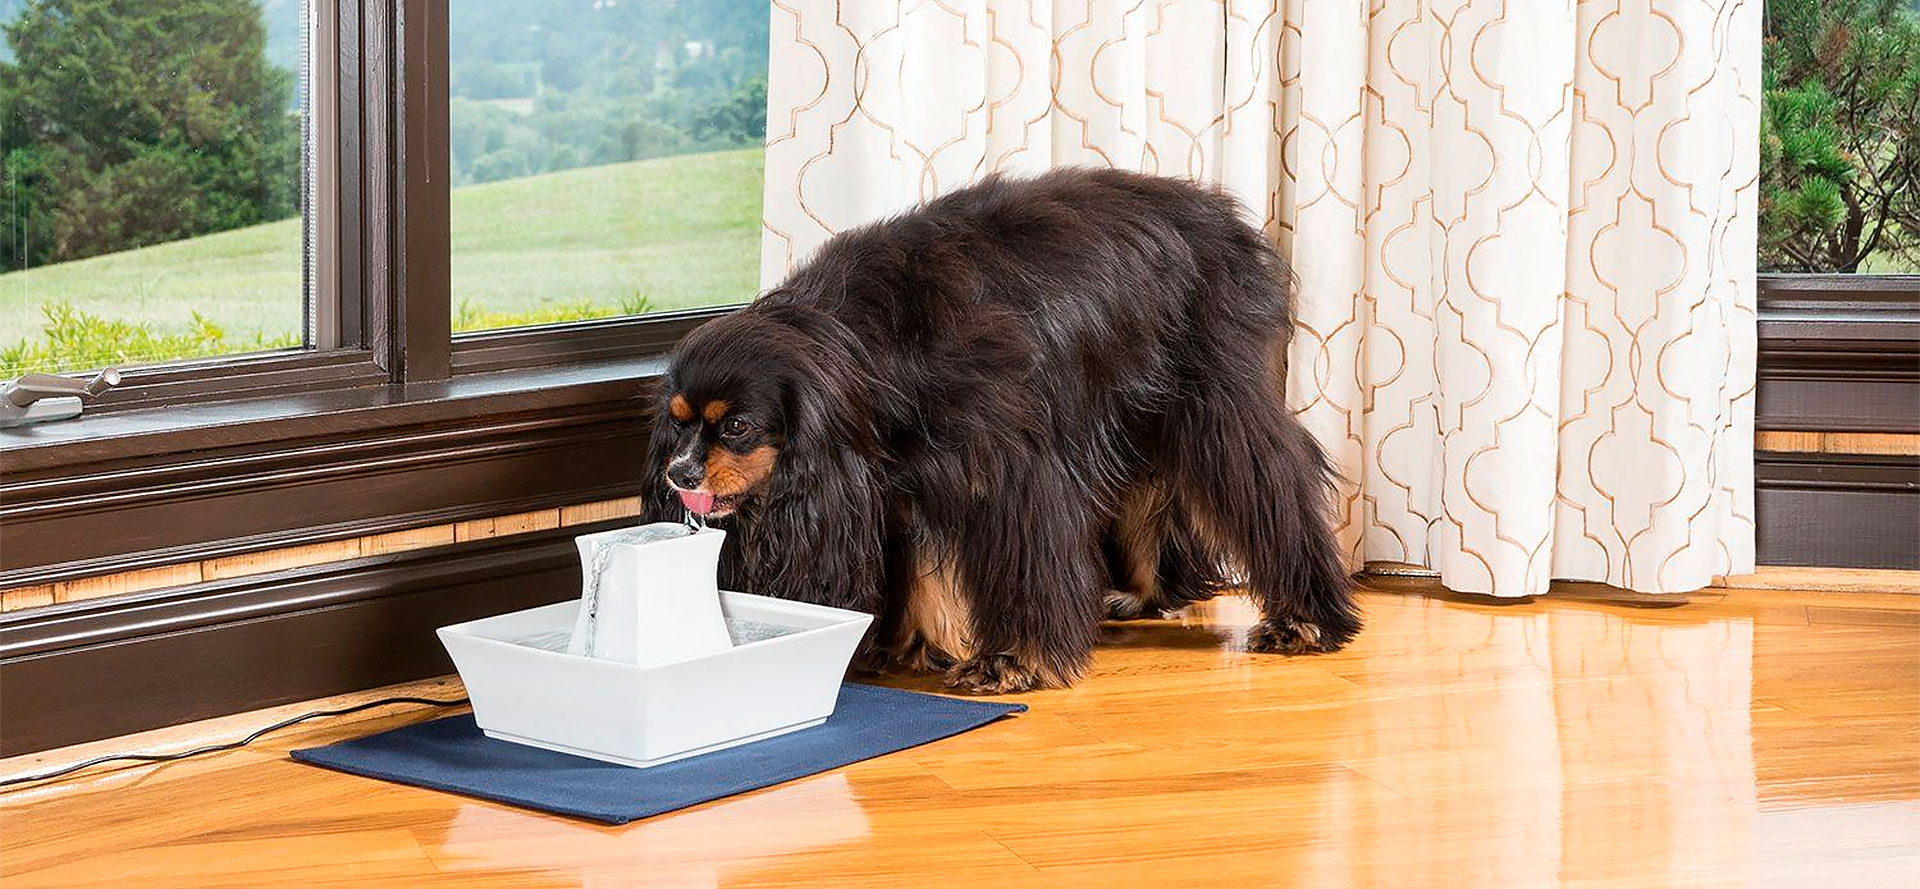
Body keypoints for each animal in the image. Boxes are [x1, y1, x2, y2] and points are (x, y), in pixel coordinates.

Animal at [637, 168, 1359, 695]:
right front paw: (898, 646)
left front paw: (1013, 658)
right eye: (678, 426)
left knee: (1273, 482)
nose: (680, 474)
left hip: (1212, 407)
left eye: (737, 425)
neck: (868, 347)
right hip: (1130, 414)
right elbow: (910, 570)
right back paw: (1146, 595)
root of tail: (1223, 217)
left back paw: (1306, 618)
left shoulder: (1003, 468)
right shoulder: (892, 479)